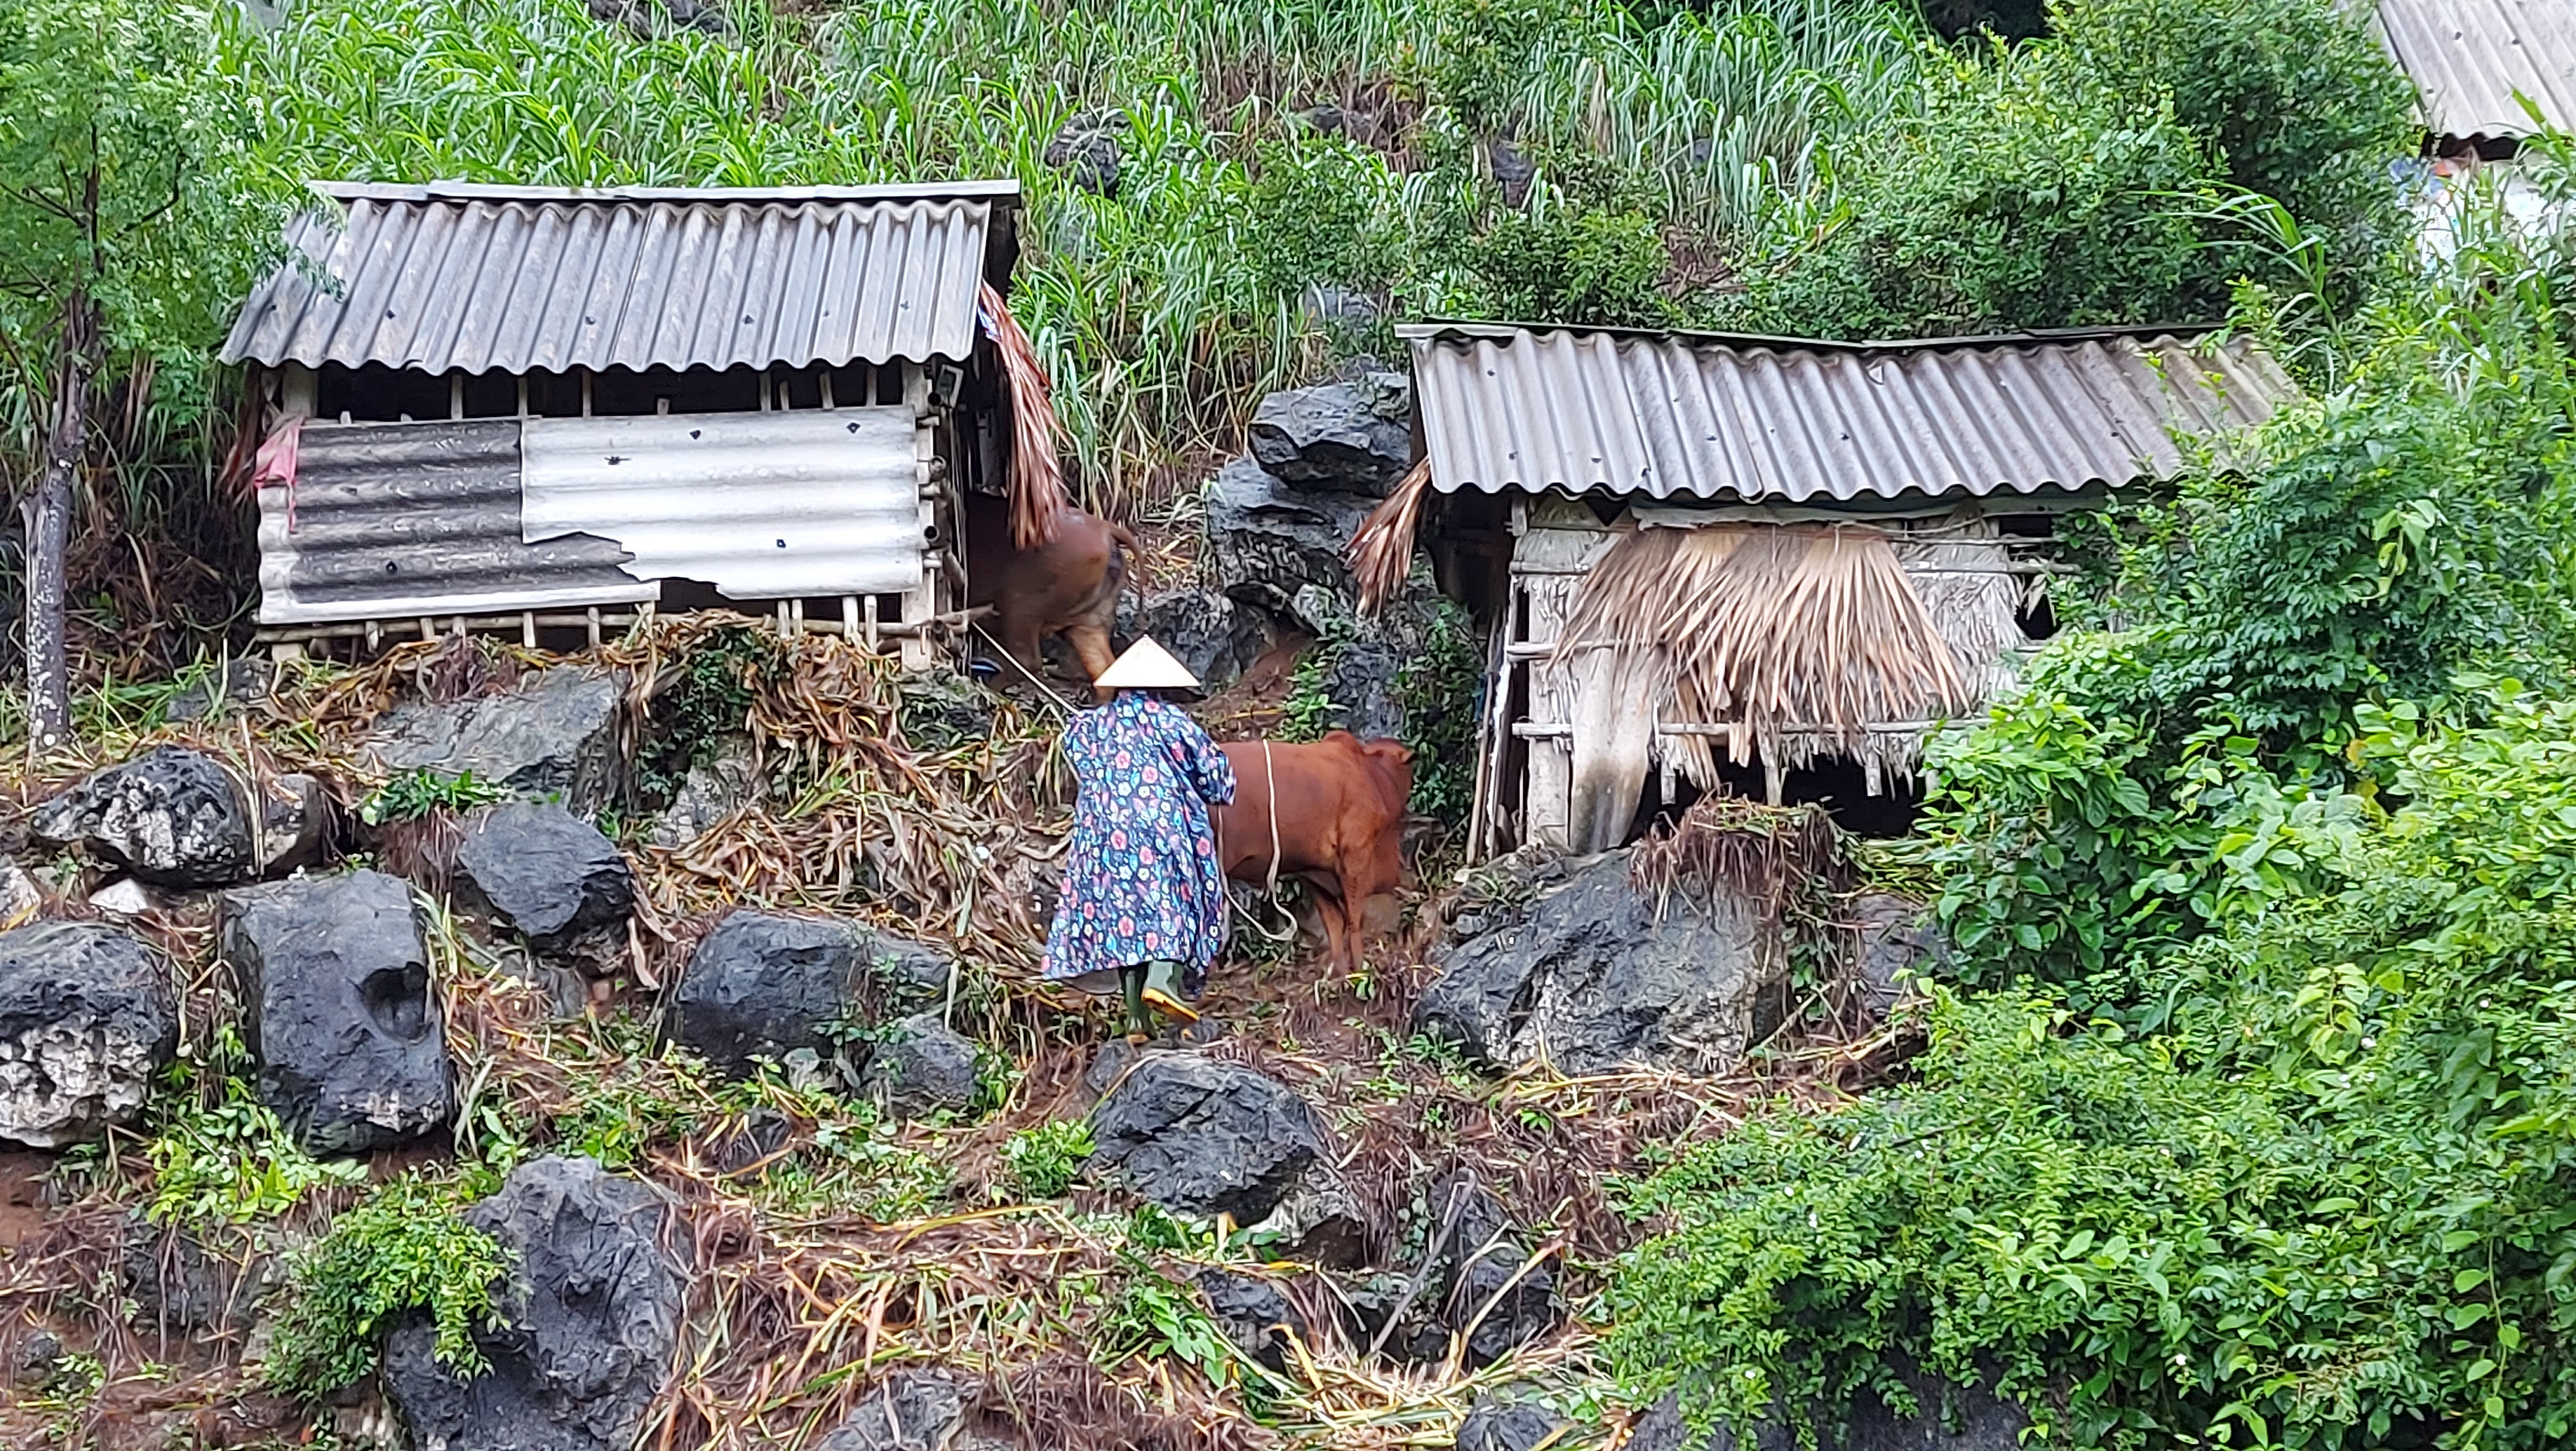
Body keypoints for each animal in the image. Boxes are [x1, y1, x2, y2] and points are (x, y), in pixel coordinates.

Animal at [968, 497, 1138, 695]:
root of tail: (1105, 529)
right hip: (1091, 619)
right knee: (1102, 666)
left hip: (1020, 606)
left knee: (1027, 660)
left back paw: (985, 688)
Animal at [1216, 737, 1422, 974]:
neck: (1374, 775)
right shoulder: (1355, 855)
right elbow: (1354, 920)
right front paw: (1359, 970)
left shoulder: (1313, 872)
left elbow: (1334, 924)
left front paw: (1341, 973)